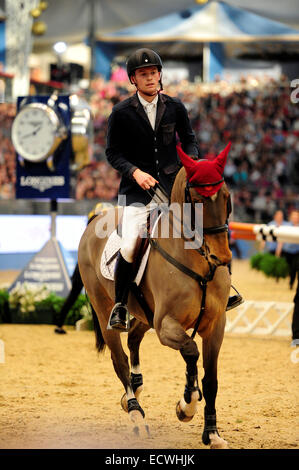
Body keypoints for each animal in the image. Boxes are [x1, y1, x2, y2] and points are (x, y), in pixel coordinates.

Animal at [78, 142, 233, 448]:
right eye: (197, 200)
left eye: (226, 197)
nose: (221, 257)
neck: (199, 262)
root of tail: (96, 219)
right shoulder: (166, 326)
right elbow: (190, 350)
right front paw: (187, 405)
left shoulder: (215, 325)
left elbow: (211, 380)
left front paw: (212, 433)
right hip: (105, 311)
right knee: (120, 359)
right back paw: (136, 414)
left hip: (143, 313)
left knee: (134, 339)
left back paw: (135, 390)